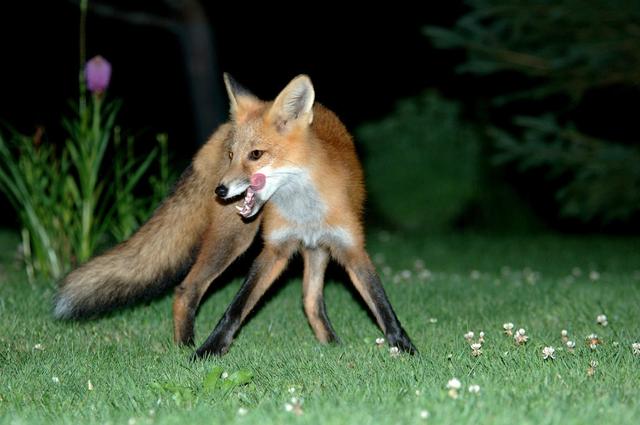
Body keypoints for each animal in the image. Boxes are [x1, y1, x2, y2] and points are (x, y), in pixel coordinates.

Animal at [53, 74, 416, 356]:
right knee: (186, 289)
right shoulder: (274, 250)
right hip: (235, 238)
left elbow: (382, 305)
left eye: (256, 155)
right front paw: (209, 350)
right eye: (232, 155)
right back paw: (185, 346)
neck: (303, 210)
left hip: (313, 250)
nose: (221, 190)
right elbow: (236, 308)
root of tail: (222, 126)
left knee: (311, 301)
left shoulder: (350, 247)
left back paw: (331, 345)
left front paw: (406, 349)